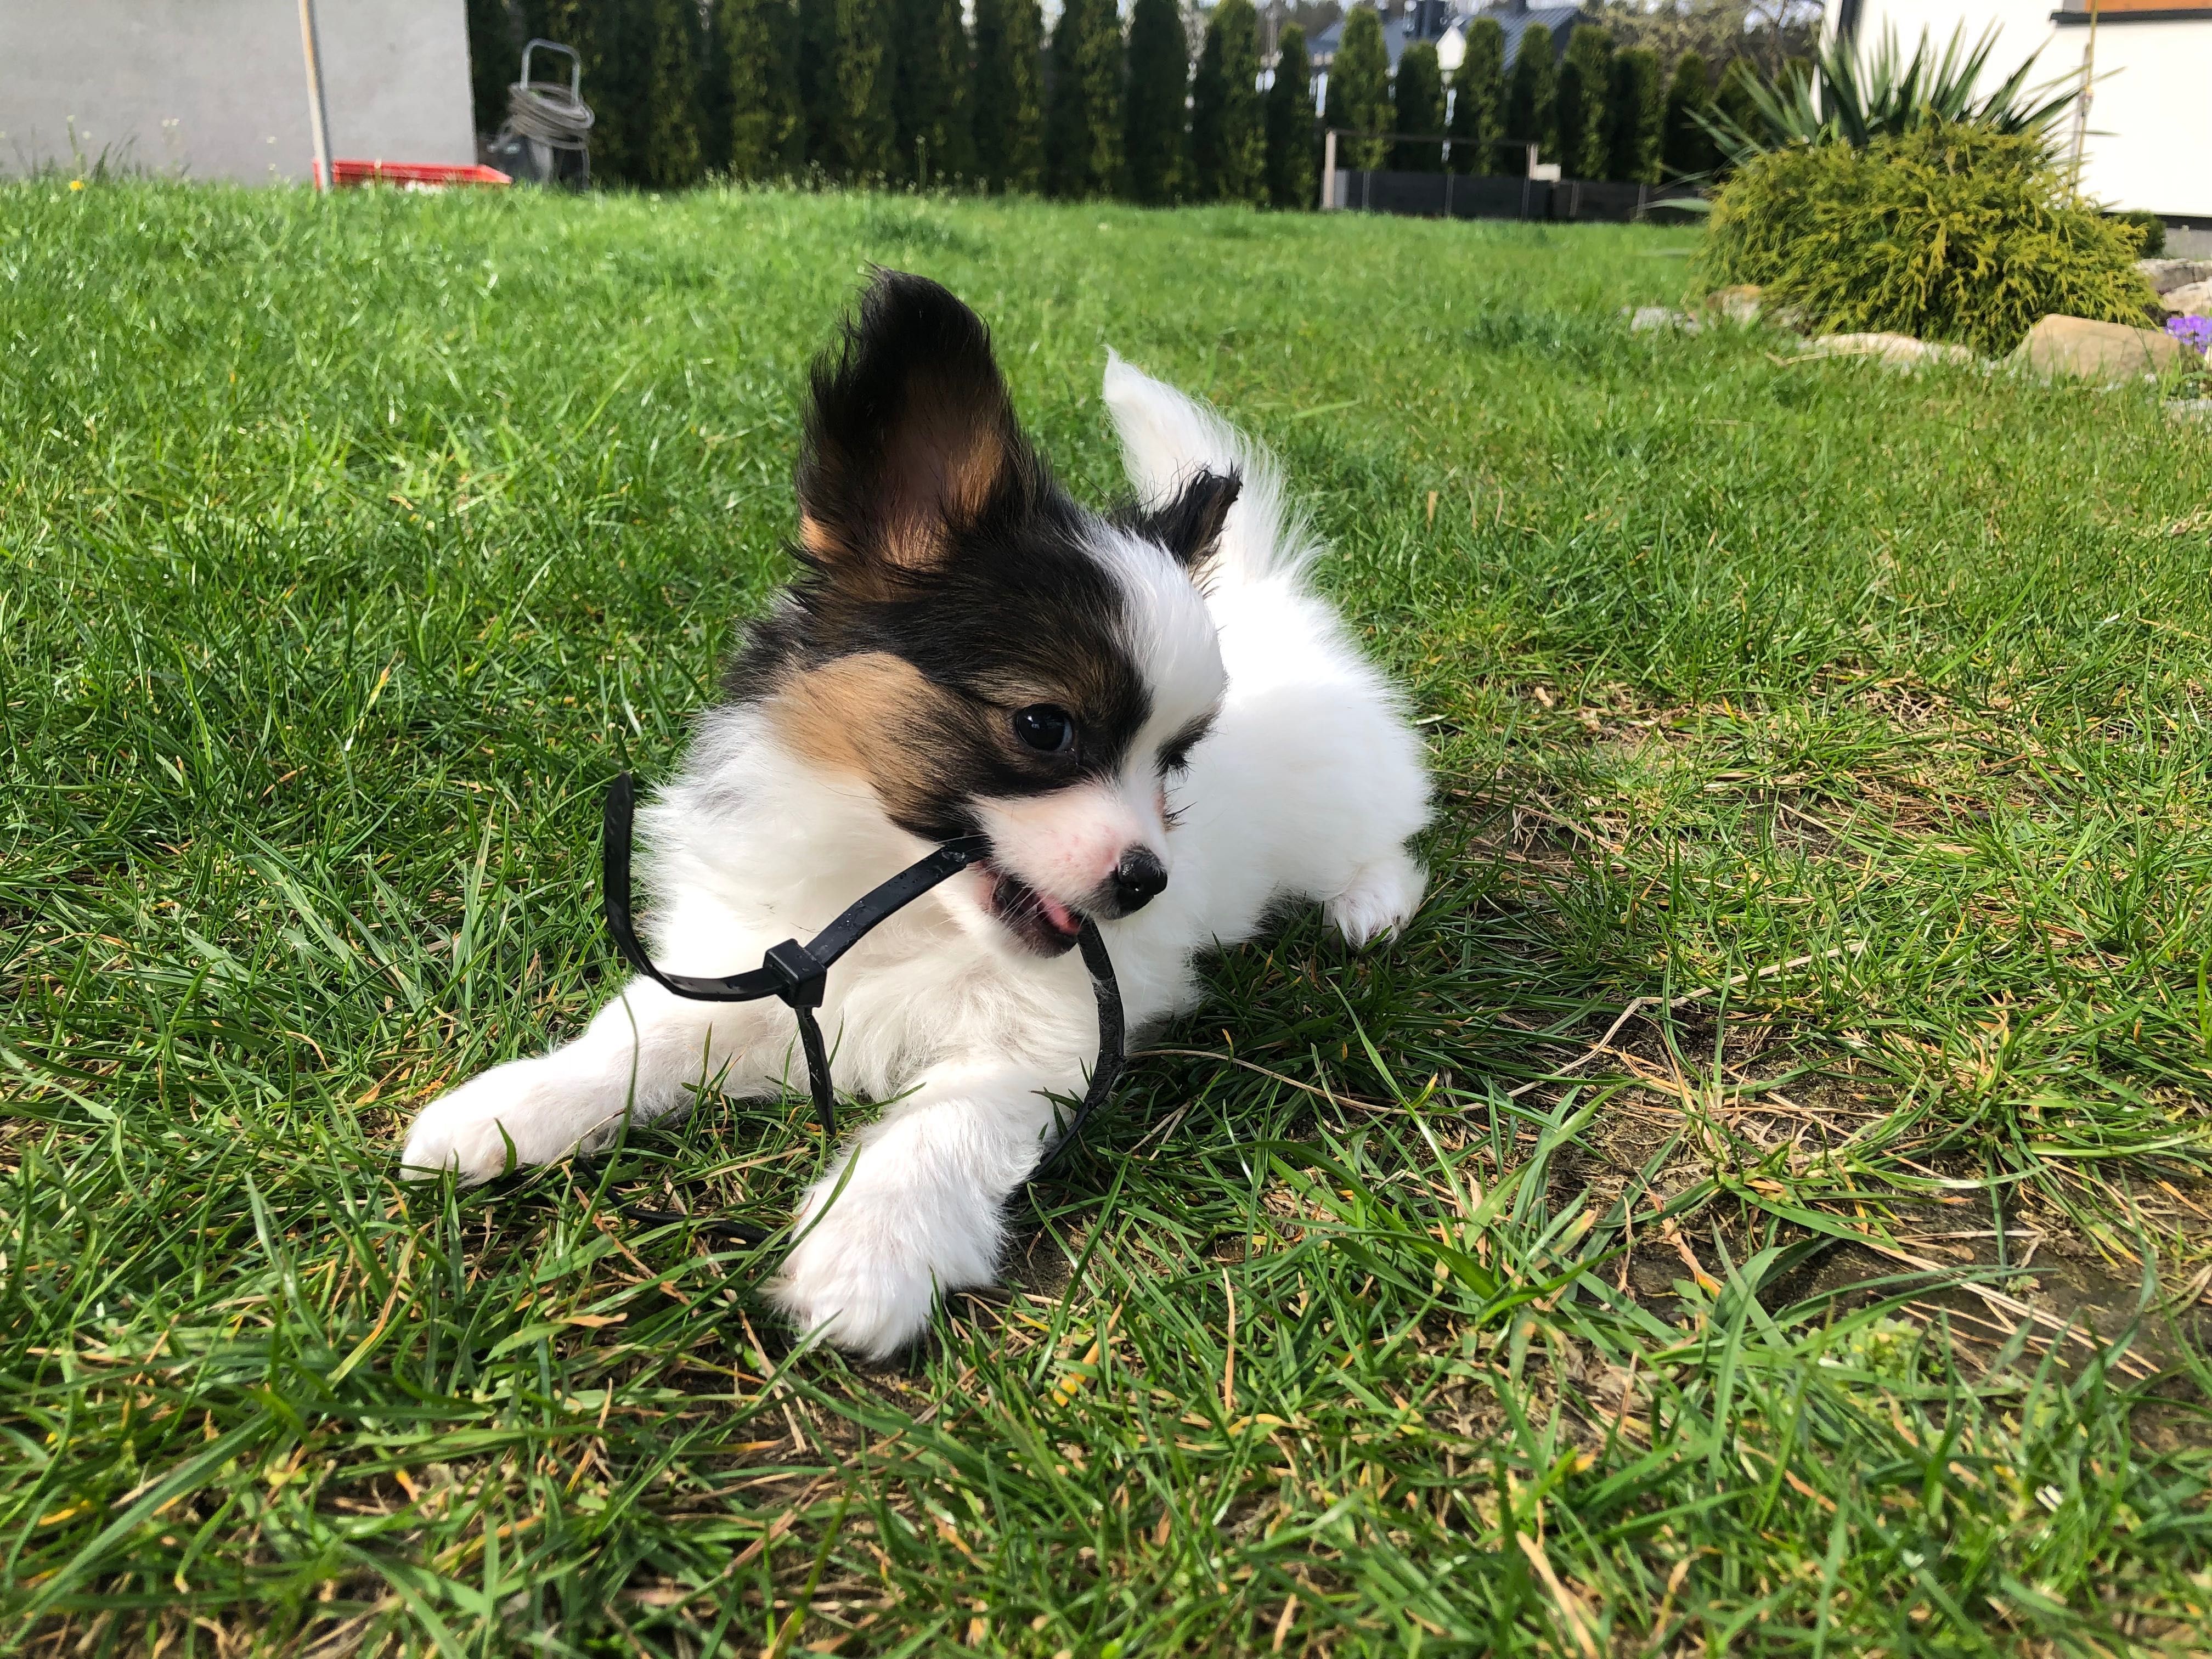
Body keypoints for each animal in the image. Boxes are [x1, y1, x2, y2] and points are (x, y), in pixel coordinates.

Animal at [402, 276, 1433, 1362]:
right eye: (1045, 726)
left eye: (1175, 763)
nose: (1146, 881)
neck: (901, 908)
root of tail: (1276, 599)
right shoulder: (760, 960)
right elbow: (640, 1038)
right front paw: (510, 1109)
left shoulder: (1048, 1040)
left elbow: (943, 1124)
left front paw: (867, 1249)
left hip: (1336, 807)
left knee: (1390, 842)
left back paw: (1370, 906)